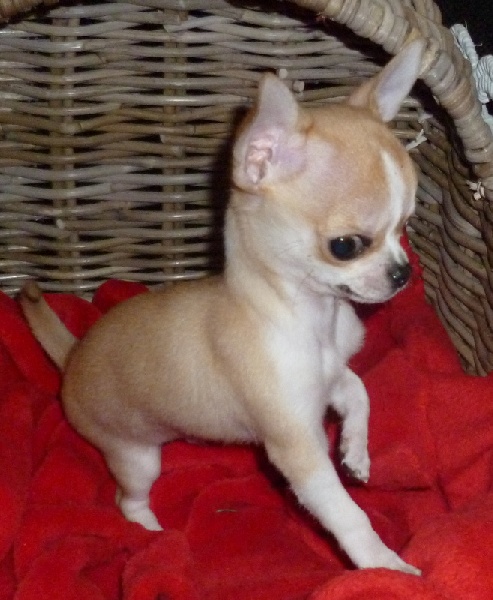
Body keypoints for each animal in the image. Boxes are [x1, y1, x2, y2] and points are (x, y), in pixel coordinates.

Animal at [20, 38, 424, 574]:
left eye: (405, 227)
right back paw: (150, 536)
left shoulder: (328, 380)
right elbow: (346, 513)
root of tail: (72, 360)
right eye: (346, 246)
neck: (311, 316)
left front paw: (356, 452)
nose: (403, 273)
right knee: (128, 501)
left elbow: (359, 391)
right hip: (135, 457)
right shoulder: (297, 448)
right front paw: (385, 566)